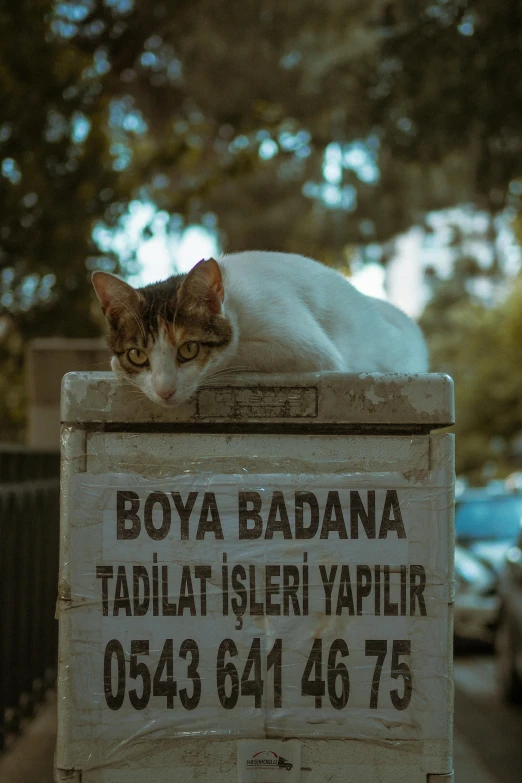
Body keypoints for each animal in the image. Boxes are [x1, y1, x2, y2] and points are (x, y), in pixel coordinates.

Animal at [92, 253, 426, 410]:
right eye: (137, 355)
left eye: (189, 349)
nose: (164, 392)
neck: (233, 300)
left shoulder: (311, 350)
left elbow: (235, 351)